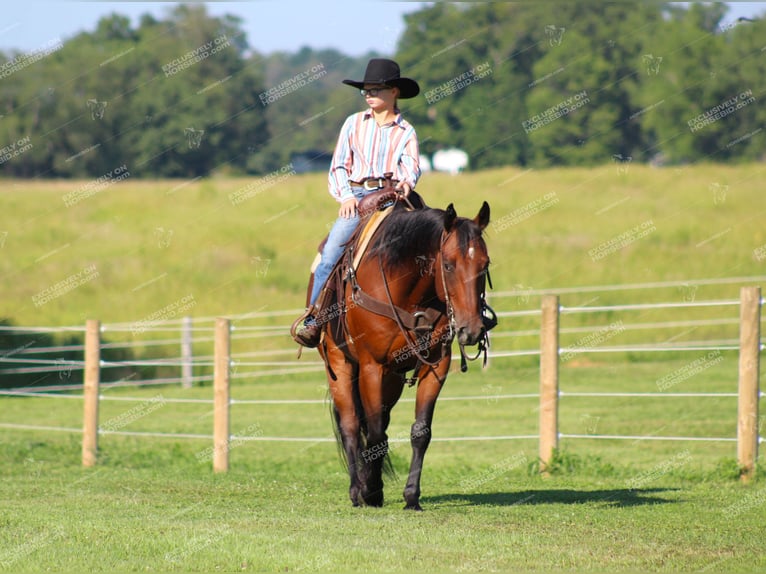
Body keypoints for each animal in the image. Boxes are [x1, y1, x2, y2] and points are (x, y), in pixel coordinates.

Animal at [316, 196, 496, 510]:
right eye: (448, 265)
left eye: (484, 265)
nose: (471, 330)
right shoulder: (372, 366)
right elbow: (375, 434)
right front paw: (371, 491)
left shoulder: (436, 365)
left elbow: (420, 431)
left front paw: (411, 495)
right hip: (340, 365)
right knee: (351, 426)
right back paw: (357, 490)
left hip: (393, 378)